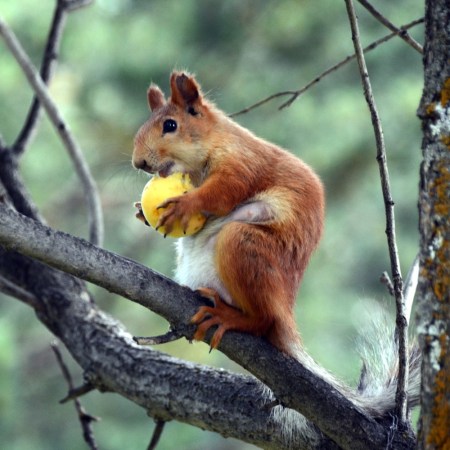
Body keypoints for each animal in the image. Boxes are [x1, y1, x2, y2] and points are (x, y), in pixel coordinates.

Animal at [132, 70, 326, 356]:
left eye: (170, 125)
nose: (139, 163)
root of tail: (285, 314)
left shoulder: (242, 162)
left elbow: (224, 191)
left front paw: (187, 204)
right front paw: (141, 213)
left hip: (242, 244)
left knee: (264, 321)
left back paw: (229, 317)